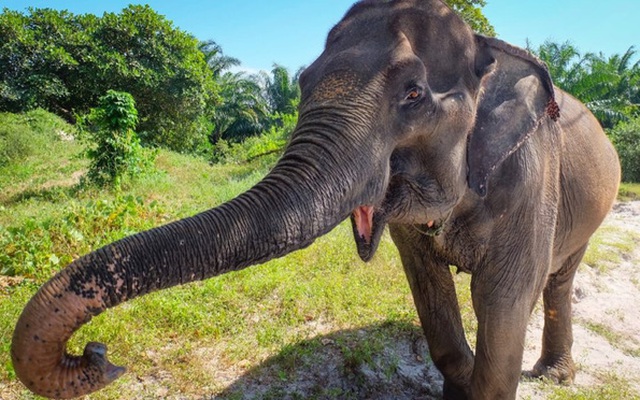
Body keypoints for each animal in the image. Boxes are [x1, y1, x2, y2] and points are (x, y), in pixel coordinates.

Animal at [11, 0, 620, 398]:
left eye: (413, 94)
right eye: (301, 84)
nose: (98, 354)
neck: (486, 48)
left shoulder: (530, 183)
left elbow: (502, 302)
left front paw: (481, 376)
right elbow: (430, 295)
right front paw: (460, 378)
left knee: (557, 279)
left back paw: (553, 376)